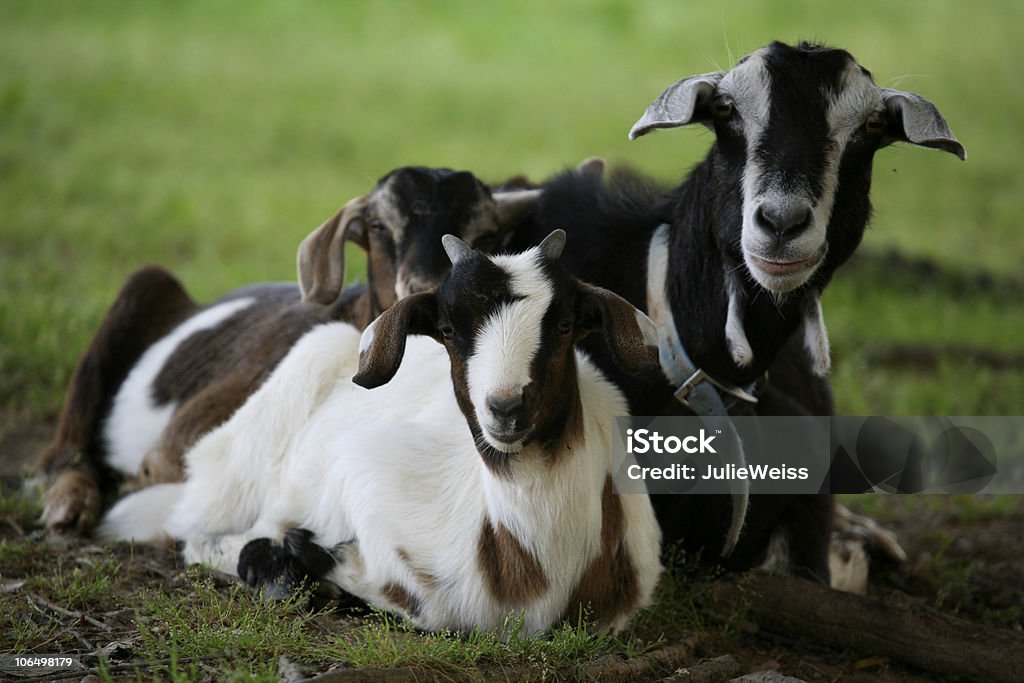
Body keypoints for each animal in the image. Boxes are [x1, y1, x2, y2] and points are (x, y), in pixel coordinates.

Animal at [36, 165, 540, 532]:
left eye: (488, 235)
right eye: (378, 226)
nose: (431, 288)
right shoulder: (175, 447)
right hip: (142, 287)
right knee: (65, 448)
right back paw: (68, 504)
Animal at [99, 231, 663, 634]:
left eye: (565, 325)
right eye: (449, 330)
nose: (505, 409)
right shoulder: (367, 476)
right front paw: (303, 559)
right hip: (239, 460)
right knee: (191, 527)